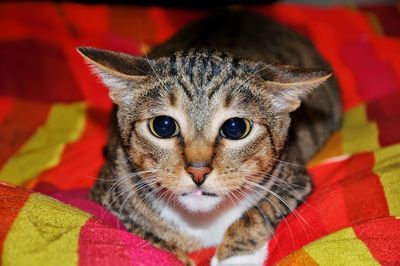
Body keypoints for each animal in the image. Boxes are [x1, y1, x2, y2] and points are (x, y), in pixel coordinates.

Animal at [78, 9, 340, 266]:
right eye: (163, 126)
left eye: (235, 127)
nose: (198, 171)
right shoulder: (109, 190)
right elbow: (143, 234)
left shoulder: (294, 177)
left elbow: (260, 211)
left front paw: (234, 258)